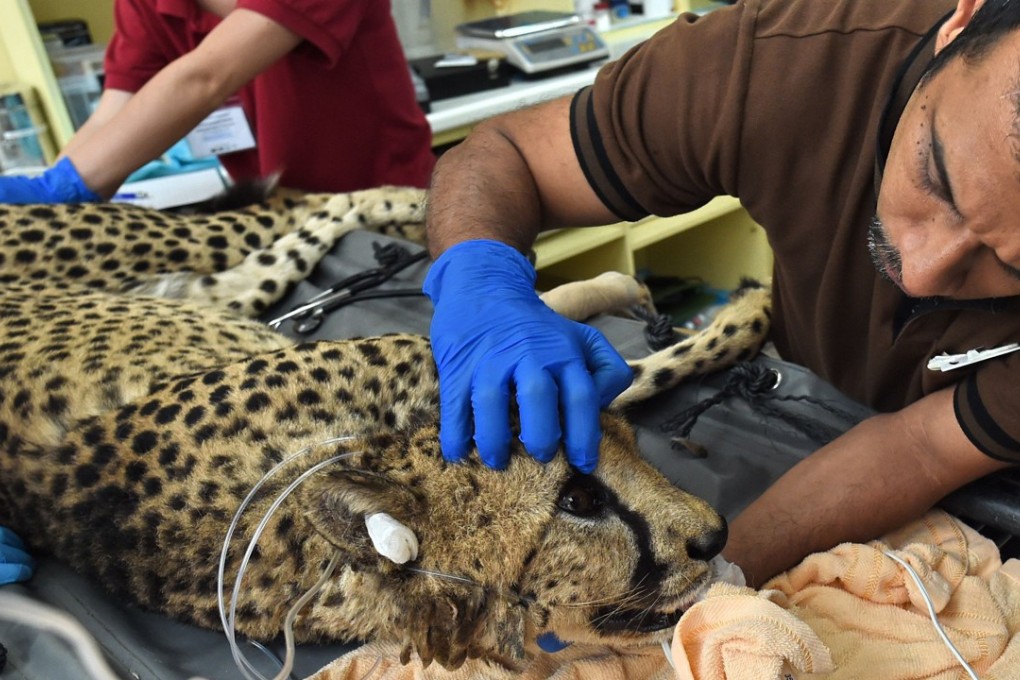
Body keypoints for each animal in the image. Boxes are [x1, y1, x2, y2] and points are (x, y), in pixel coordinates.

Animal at [0, 187, 771, 672]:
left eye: (633, 452)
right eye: (579, 501)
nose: (716, 534)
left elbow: (554, 340)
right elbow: (636, 366)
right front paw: (745, 314)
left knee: (302, 214)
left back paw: (411, 203)